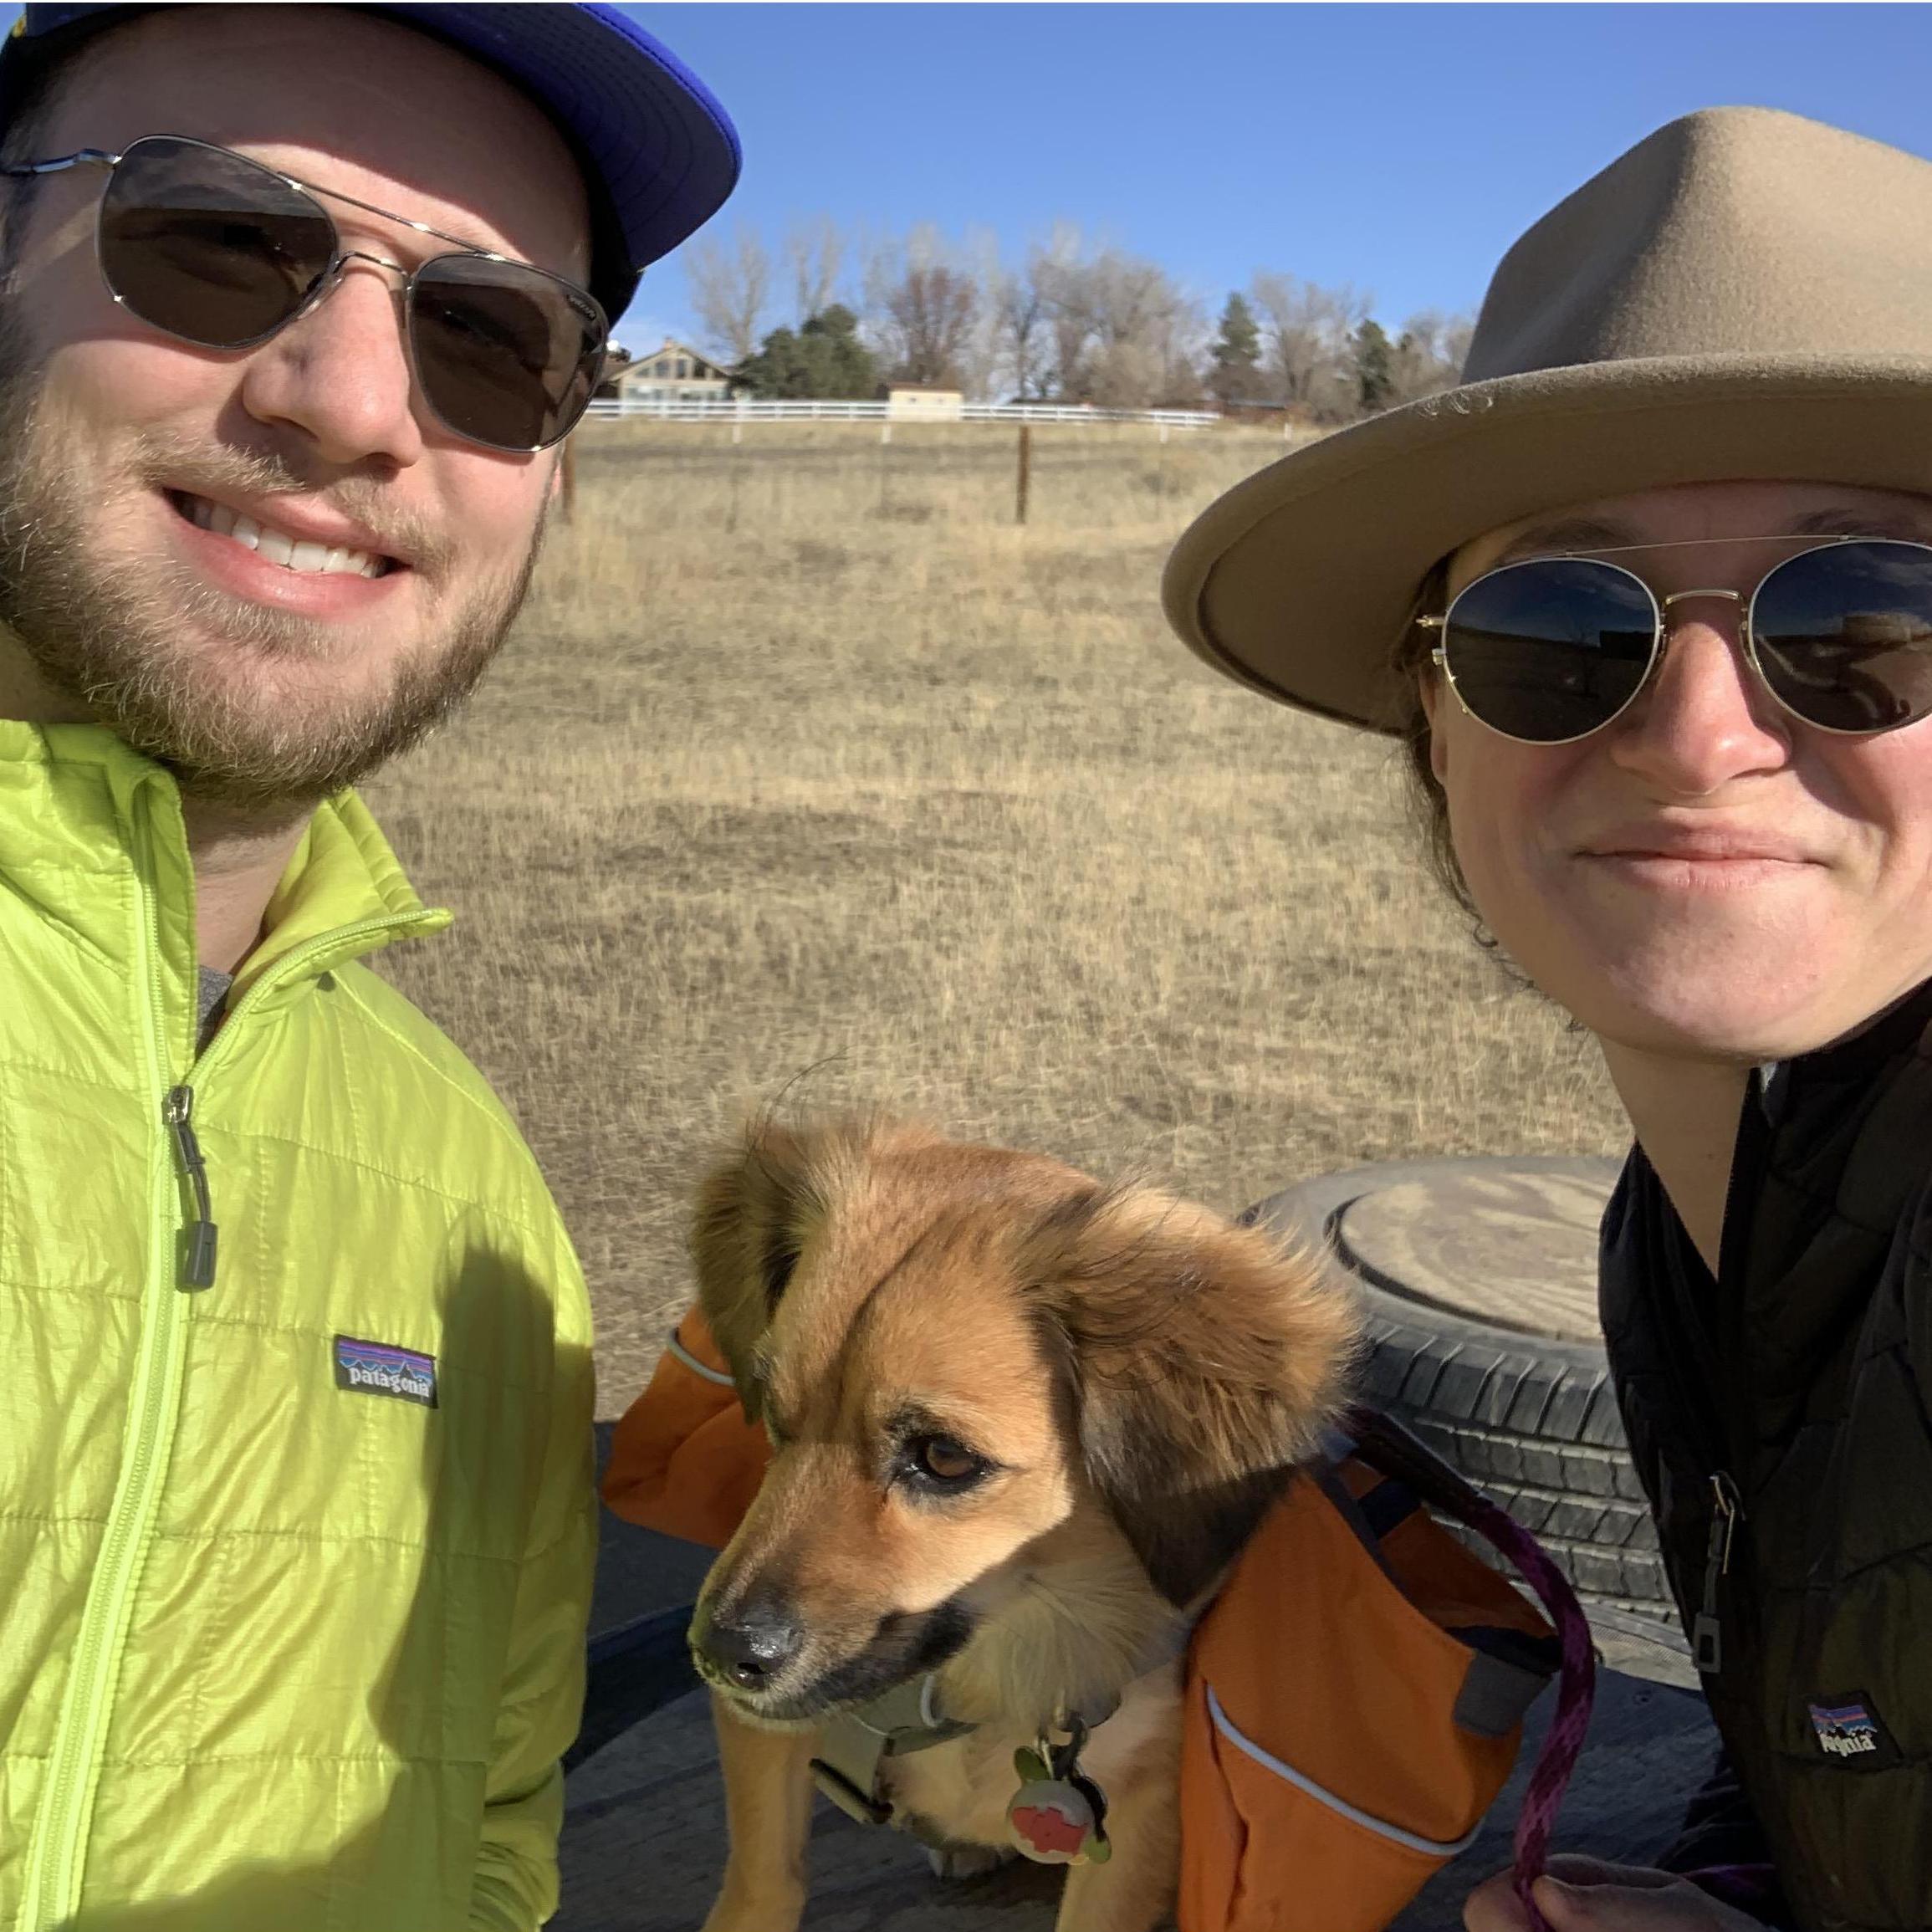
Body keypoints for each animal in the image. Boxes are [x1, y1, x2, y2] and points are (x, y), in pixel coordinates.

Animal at [683, 1120, 1360, 1932]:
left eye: (944, 1458)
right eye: (776, 1415)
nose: (721, 1655)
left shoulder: (1137, 1812)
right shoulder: (761, 1738)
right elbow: (763, 1885)